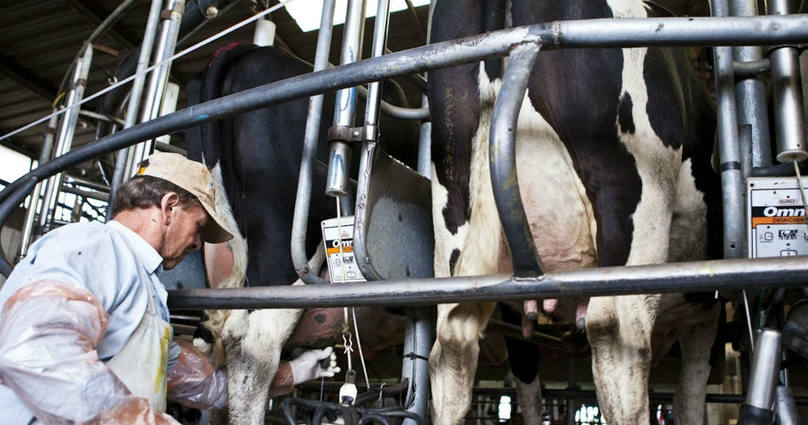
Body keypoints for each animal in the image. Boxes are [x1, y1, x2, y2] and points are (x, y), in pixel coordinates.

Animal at [426, 0, 724, 424]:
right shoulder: (709, 312)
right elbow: (690, 400)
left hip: (452, 205)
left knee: (451, 347)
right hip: (631, 197)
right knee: (618, 338)